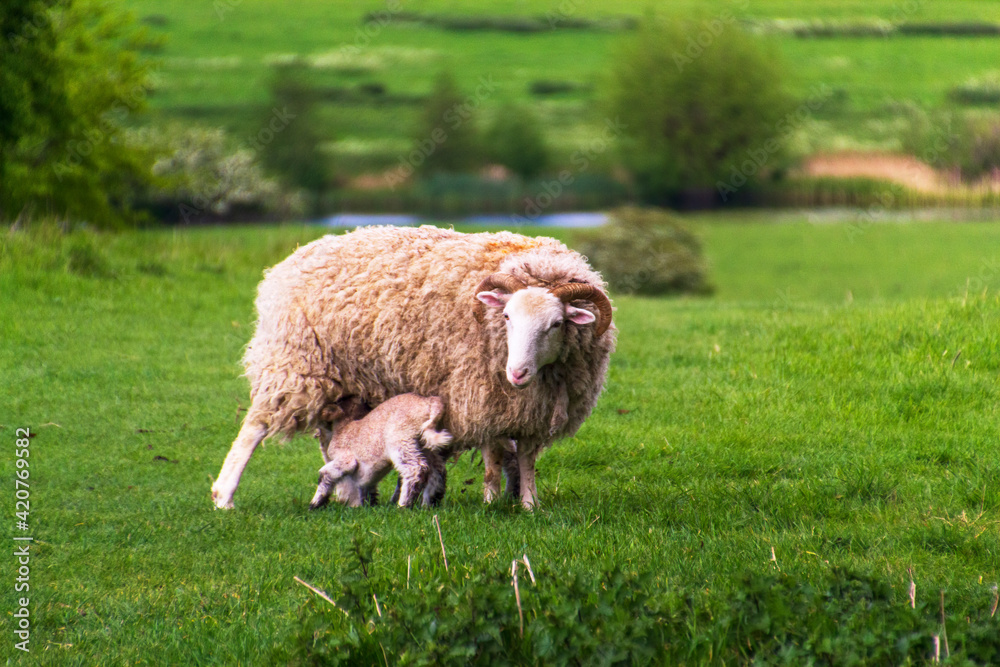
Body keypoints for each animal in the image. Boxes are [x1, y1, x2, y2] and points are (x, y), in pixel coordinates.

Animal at [309, 393, 452, 509]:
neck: (346, 425)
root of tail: (428, 402)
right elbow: (366, 489)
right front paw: (368, 506)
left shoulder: (345, 460)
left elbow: (325, 474)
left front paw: (315, 504)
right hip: (425, 444)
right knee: (438, 470)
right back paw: (430, 504)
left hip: (400, 438)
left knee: (415, 468)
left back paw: (404, 505)